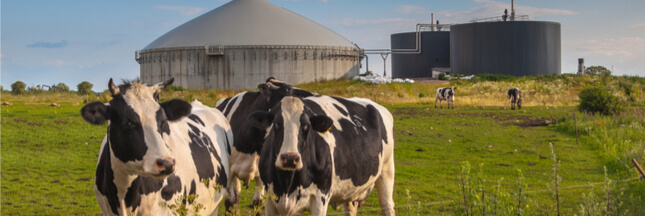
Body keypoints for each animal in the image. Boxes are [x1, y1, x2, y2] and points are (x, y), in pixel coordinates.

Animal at [249, 96, 394, 216]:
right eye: (276, 124)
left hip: (386, 170)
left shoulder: (321, 198)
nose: (290, 159)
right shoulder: (270, 199)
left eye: (306, 126)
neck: (287, 185)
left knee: (388, 207)